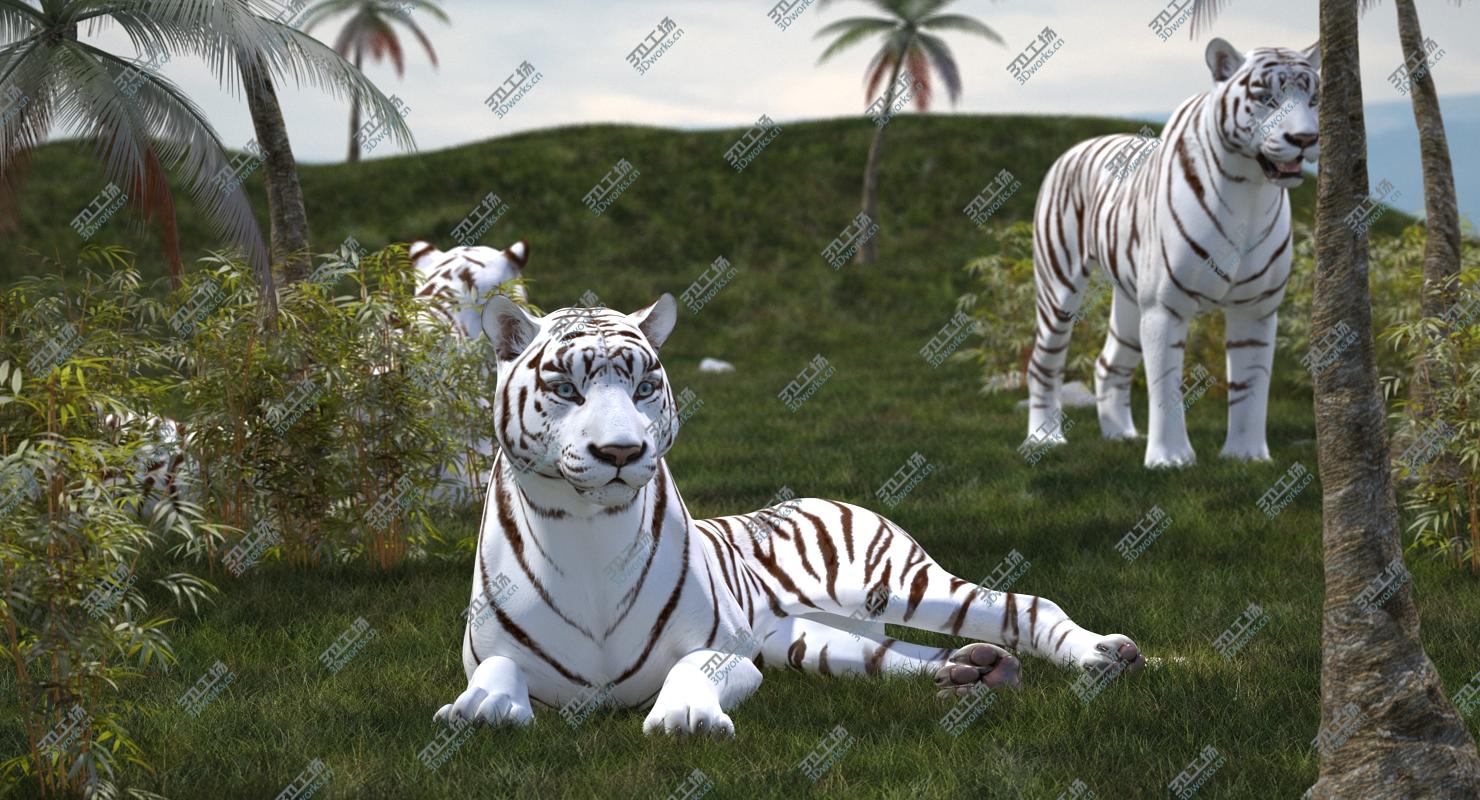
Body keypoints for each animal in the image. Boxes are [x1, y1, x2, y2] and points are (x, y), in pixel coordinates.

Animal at [434, 294, 1144, 737]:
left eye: (644, 386)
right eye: (565, 389)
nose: (620, 453)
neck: (589, 535)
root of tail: (821, 495)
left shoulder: (727, 652)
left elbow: (689, 670)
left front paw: (685, 718)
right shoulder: (490, 654)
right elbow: (493, 680)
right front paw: (478, 708)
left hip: (896, 584)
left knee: (1026, 605)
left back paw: (1103, 655)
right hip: (809, 640)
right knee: (893, 656)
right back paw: (975, 672)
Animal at [1024, 39, 1320, 468]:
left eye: (1313, 98)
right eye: (1267, 98)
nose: (1305, 138)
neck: (1249, 188)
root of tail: (1074, 149)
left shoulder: (1257, 306)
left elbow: (1250, 386)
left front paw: (1246, 455)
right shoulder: (1165, 307)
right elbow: (1166, 388)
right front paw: (1170, 459)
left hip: (1129, 301)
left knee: (1108, 364)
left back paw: (1121, 435)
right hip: (1059, 289)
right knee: (1042, 364)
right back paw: (1043, 438)